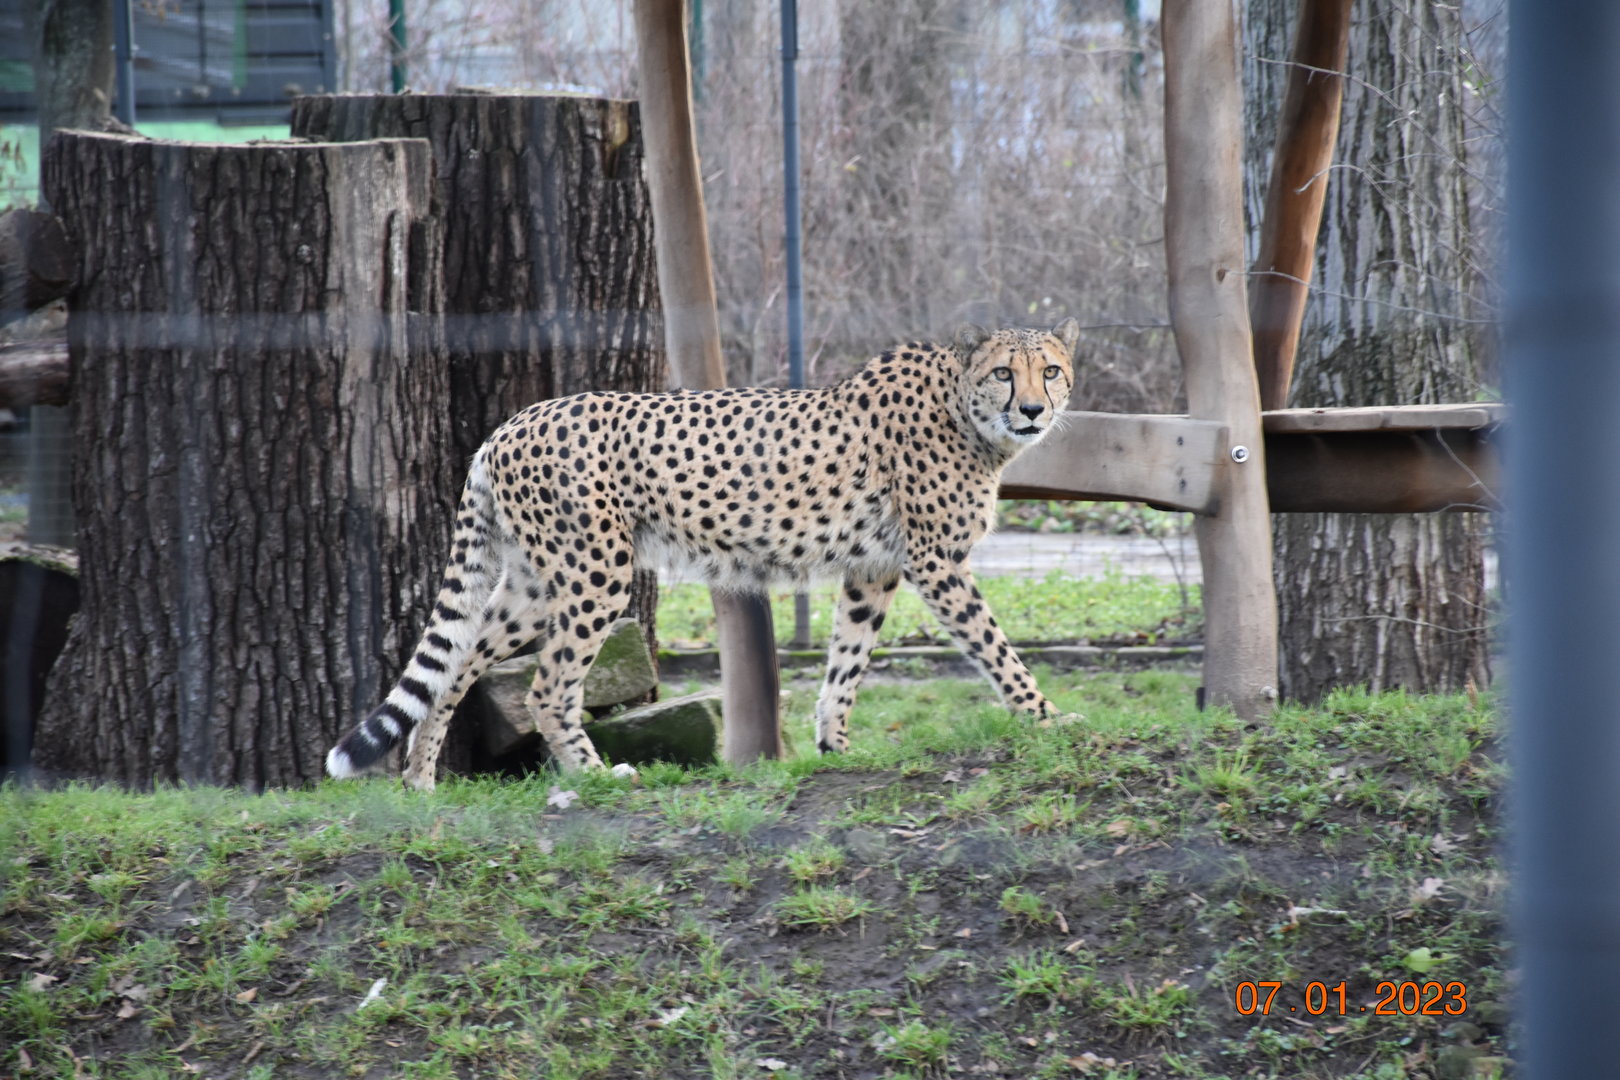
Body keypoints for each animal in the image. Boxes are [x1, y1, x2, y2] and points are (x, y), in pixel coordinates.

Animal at [325, 319, 1081, 791]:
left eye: (1050, 370)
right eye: (1003, 374)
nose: (1034, 411)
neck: (964, 409)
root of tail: (510, 423)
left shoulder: (874, 571)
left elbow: (846, 663)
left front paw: (834, 747)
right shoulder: (936, 562)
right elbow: (995, 648)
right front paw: (1048, 717)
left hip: (532, 586)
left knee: (455, 666)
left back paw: (420, 783)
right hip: (595, 574)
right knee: (547, 686)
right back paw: (592, 777)